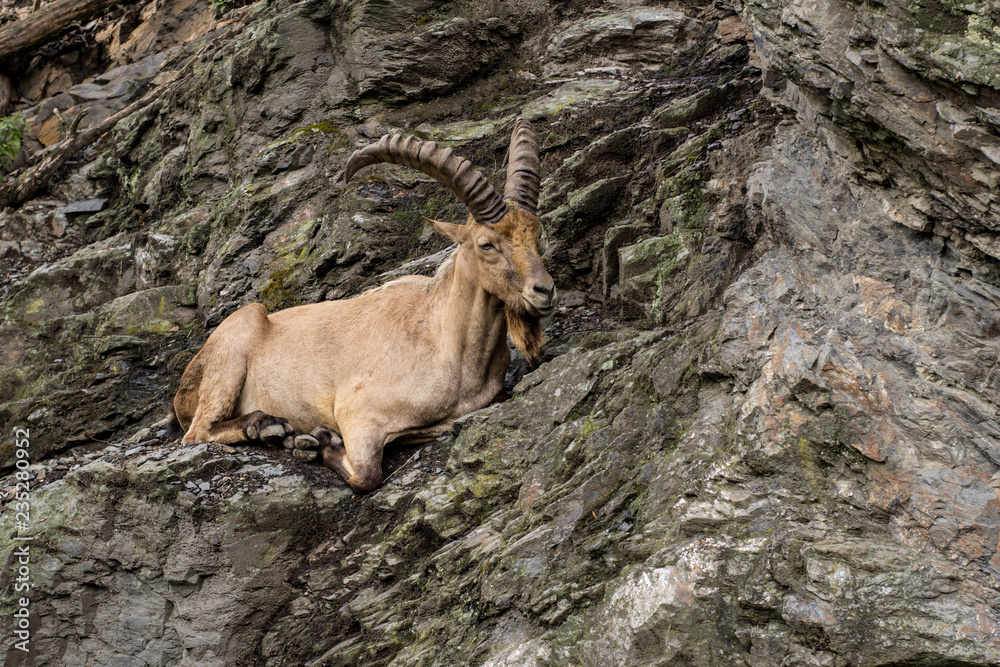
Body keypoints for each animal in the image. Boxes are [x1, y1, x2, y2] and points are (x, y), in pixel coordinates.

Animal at [173, 116, 560, 490]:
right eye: (486, 244)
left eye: (536, 233)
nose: (545, 290)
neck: (447, 345)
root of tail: (183, 390)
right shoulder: (357, 411)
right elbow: (366, 475)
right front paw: (317, 442)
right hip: (239, 336)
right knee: (198, 431)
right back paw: (267, 425)